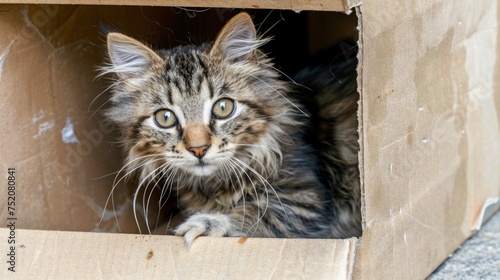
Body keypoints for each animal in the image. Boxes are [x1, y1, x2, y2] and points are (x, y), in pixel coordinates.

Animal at [102, 12, 360, 247]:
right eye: (165, 118)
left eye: (223, 108)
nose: (199, 149)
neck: (212, 186)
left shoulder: (305, 199)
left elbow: (258, 215)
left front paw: (209, 223)